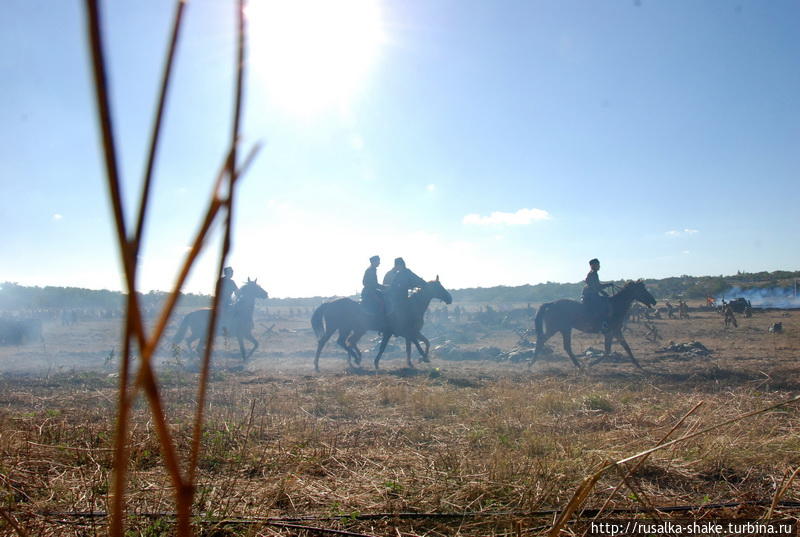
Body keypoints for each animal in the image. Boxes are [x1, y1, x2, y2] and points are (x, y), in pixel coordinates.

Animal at [310, 274, 454, 370]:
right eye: (439, 287)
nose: (449, 298)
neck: (409, 306)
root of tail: (328, 303)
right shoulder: (402, 332)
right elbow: (407, 345)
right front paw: (422, 357)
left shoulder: (408, 333)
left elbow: (422, 343)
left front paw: (418, 359)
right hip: (335, 328)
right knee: (328, 341)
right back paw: (319, 364)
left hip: (349, 329)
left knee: (346, 341)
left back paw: (354, 360)